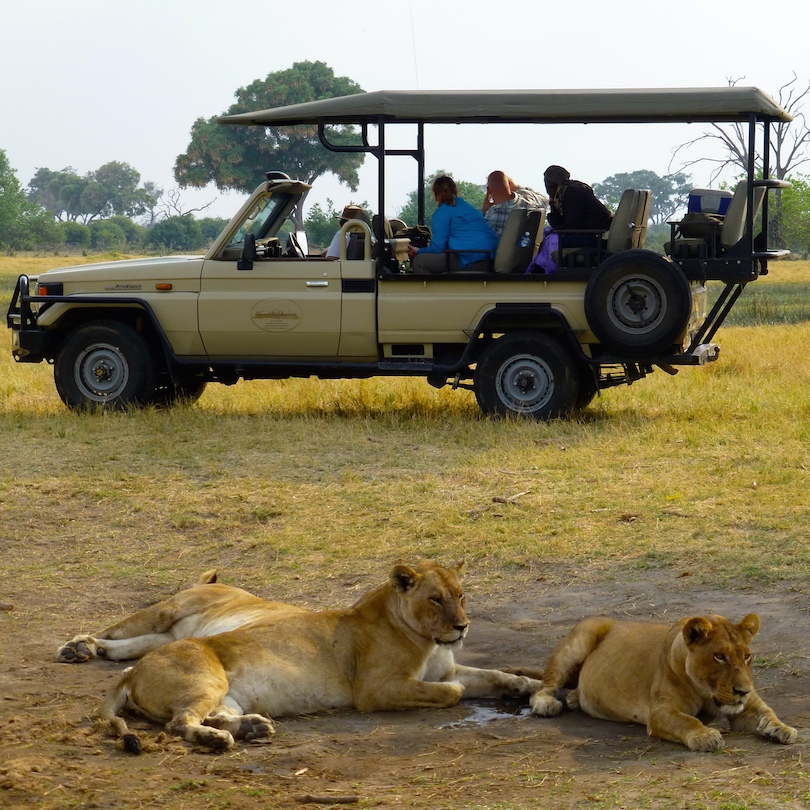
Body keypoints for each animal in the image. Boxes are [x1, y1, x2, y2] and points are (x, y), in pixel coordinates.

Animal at [59, 561, 542, 752]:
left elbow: (493, 675)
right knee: (179, 722)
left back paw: (253, 728)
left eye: (461, 595)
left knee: (208, 713)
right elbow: (452, 692)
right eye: (435, 599)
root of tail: (130, 674)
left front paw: (529, 686)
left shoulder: (451, 664)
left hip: (225, 691)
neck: (428, 640)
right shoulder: (375, 690)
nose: (463, 626)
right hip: (200, 666)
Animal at [529, 613, 797, 751]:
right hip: (578, 641)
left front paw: (781, 728)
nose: (742, 691)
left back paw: (574, 698)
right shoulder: (660, 712)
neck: (707, 693)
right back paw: (546, 703)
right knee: (544, 686)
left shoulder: (747, 707)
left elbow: (767, 712)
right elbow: (687, 720)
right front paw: (705, 736)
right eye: (719, 656)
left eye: (747, 656)